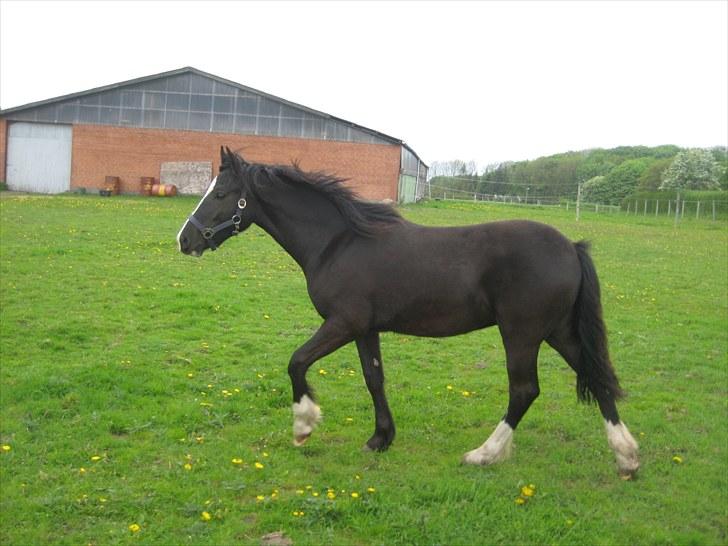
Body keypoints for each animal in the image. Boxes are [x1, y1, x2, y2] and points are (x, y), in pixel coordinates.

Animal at [179, 148, 640, 476]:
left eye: (220, 194)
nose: (185, 240)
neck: (339, 242)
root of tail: (571, 247)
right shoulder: (365, 328)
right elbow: (374, 379)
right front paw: (380, 439)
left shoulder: (342, 323)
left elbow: (296, 362)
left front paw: (304, 426)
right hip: (558, 331)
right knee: (597, 377)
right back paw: (627, 457)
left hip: (522, 333)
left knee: (525, 391)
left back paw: (483, 455)